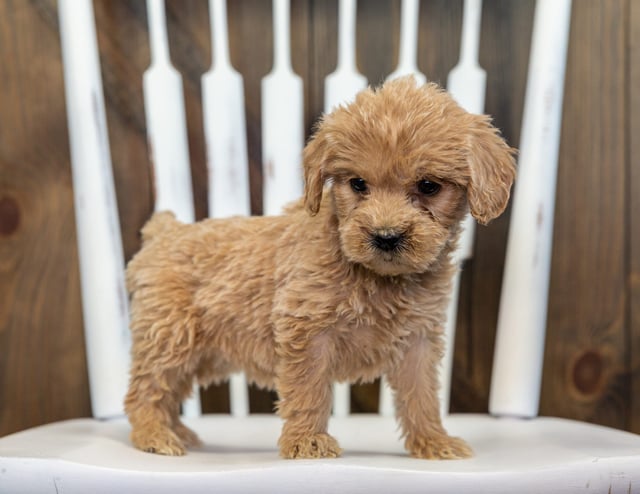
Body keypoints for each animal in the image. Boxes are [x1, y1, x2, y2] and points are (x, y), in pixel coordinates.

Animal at [124, 76, 516, 460]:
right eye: (358, 184)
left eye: (429, 186)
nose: (386, 236)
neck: (377, 277)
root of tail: (163, 231)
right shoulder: (307, 330)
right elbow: (308, 389)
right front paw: (307, 442)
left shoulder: (418, 338)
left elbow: (421, 395)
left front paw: (433, 441)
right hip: (169, 335)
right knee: (145, 388)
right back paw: (155, 435)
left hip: (201, 353)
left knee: (170, 390)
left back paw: (177, 431)